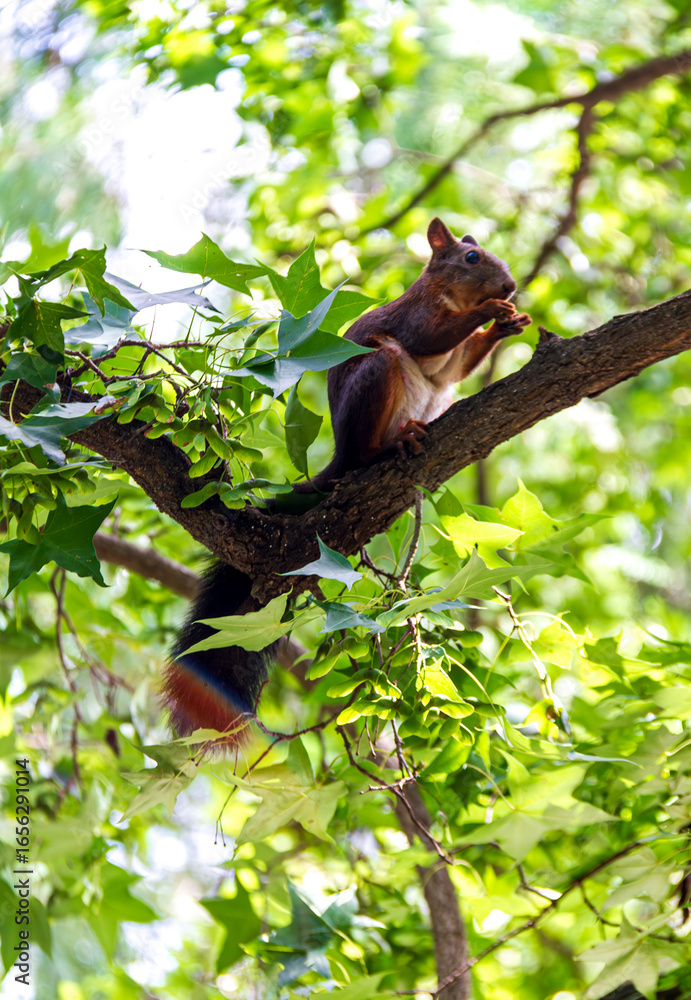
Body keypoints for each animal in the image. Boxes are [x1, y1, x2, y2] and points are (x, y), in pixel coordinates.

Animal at [163, 217, 531, 743]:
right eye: (472, 258)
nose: (509, 287)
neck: (449, 296)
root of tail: (340, 452)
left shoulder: (457, 363)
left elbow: (460, 364)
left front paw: (506, 324)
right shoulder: (415, 318)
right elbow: (431, 339)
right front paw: (491, 312)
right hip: (378, 371)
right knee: (365, 449)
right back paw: (392, 446)